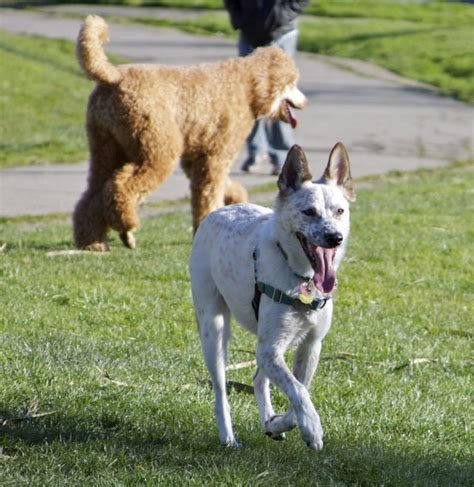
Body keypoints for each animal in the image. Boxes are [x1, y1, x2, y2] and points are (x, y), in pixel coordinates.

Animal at [72, 15, 306, 252]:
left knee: (92, 197)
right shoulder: (217, 155)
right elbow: (210, 192)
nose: (305, 101)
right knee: (120, 187)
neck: (245, 85)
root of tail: (114, 77)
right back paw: (126, 226)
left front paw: (234, 198)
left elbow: (217, 187)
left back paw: (93, 241)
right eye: (292, 83)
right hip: (157, 148)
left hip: (105, 147)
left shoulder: (198, 157)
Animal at [189, 143, 356, 452]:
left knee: (258, 379)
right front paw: (312, 428)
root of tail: (220, 210)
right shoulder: (269, 349)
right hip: (213, 329)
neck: (302, 277)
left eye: (340, 211)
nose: (335, 237)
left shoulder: (310, 345)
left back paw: (269, 422)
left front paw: (280, 423)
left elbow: (298, 391)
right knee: (221, 392)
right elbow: (299, 390)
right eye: (309, 212)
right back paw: (228, 438)